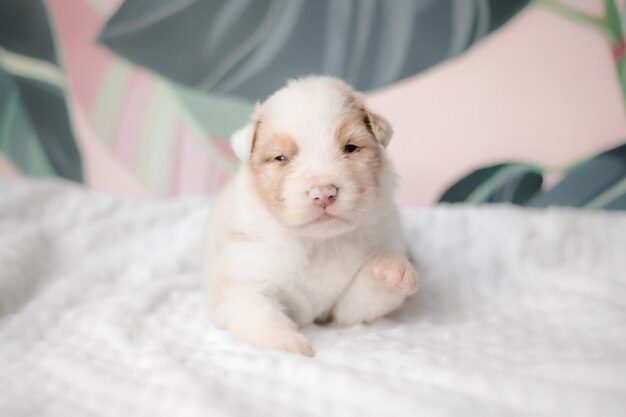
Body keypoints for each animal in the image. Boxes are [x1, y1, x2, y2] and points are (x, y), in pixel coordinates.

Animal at [207, 76, 416, 356]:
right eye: (280, 157)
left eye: (350, 147)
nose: (324, 193)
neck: (319, 243)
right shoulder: (245, 280)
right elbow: (260, 315)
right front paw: (290, 345)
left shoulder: (343, 312)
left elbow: (362, 299)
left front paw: (393, 270)